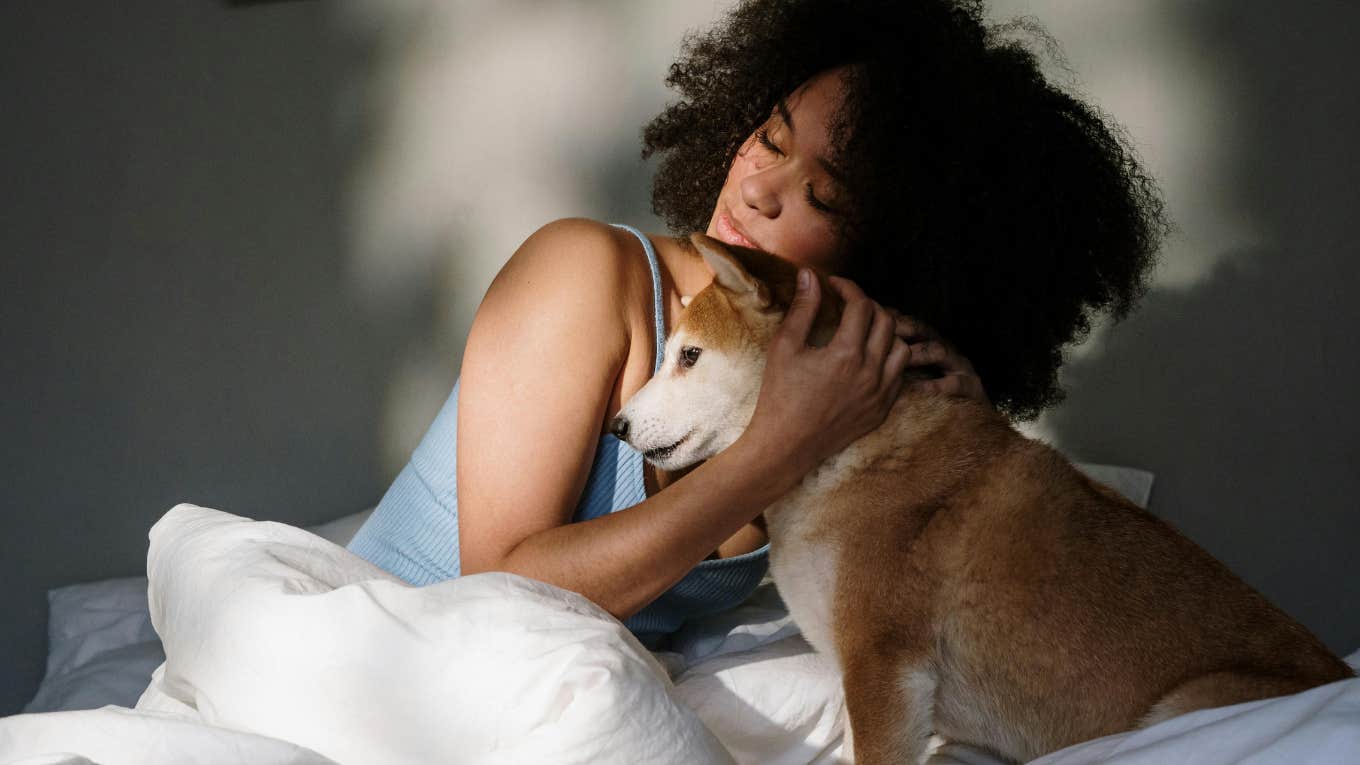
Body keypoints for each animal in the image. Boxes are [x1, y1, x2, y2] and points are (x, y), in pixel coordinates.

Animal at [614, 234, 1349, 762]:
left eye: (688, 356)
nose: (617, 425)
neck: (846, 453)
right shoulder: (866, 678)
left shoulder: (884, 664)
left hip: (1184, 709)